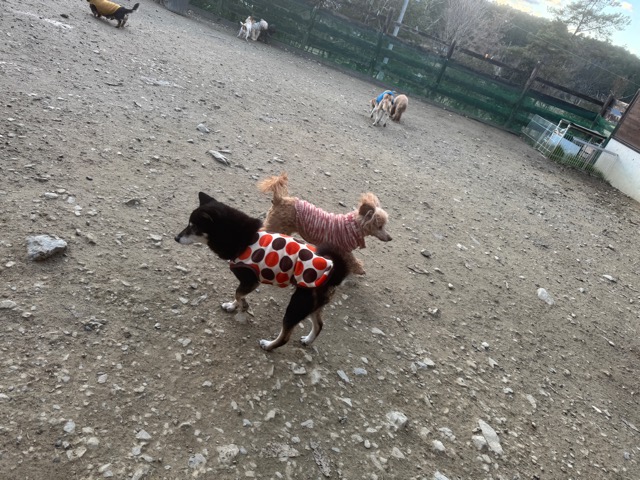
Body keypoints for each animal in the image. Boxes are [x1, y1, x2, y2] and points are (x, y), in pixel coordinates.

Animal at [175, 192, 350, 351]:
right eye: (188, 224)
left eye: (193, 227)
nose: (176, 238)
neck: (242, 238)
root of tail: (335, 271)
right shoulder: (247, 283)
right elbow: (237, 294)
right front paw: (232, 306)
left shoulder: (251, 281)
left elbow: (238, 294)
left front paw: (243, 306)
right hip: (311, 305)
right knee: (319, 325)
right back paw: (308, 340)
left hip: (297, 305)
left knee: (285, 336)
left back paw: (269, 345)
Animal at [258, 173, 392, 275]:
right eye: (380, 226)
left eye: (385, 226)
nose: (390, 238)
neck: (352, 227)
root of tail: (280, 199)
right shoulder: (343, 250)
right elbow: (352, 259)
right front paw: (359, 269)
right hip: (275, 225)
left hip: (284, 228)